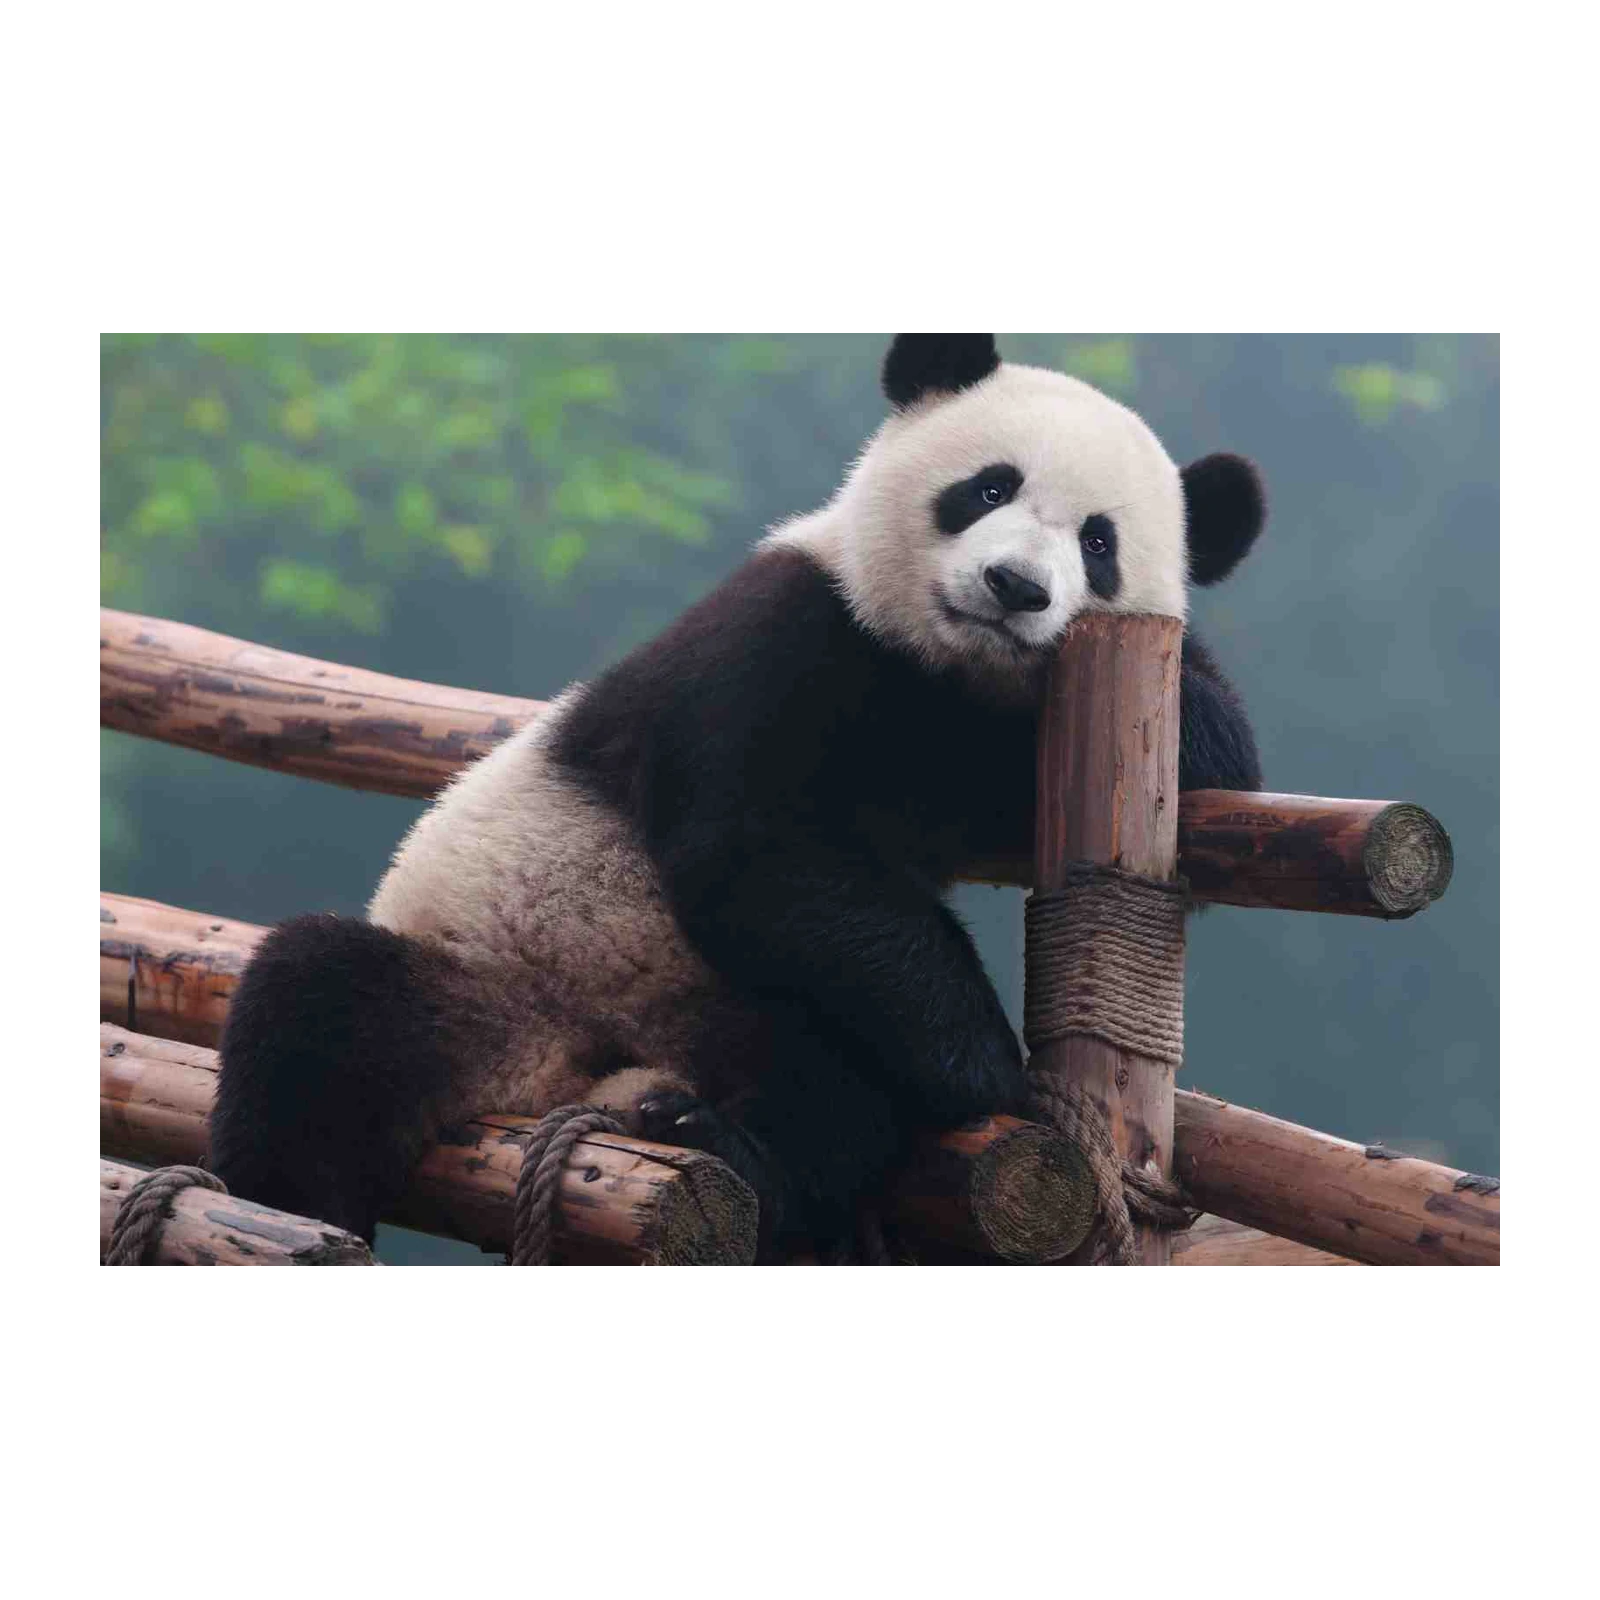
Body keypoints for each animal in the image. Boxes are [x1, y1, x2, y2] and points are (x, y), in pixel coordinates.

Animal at [210, 328, 1264, 1255]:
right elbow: (756, 848)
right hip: (491, 978)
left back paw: (720, 1141)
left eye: (1098, 544)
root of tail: (565, 1075)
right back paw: (289, 1209)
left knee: (833, 1097)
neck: (940, 668)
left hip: (737, 1010)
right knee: (318, 1021)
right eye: (989, 487)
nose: (1014, 586)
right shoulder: (779, 635)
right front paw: (992, 1071)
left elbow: (1220, 765)